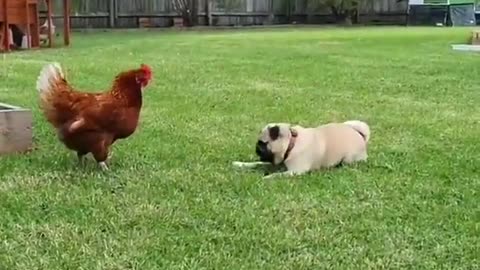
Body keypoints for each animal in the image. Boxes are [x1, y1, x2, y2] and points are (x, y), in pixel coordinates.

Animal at [233, 119, 372, 178]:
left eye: (262, 144)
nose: (256, 148)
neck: (292, 143)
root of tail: (359, 134)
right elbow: (256, 163)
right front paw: (240, 164)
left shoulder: (295, 171)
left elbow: (277, 175)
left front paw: (265, 177)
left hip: (349, 160)